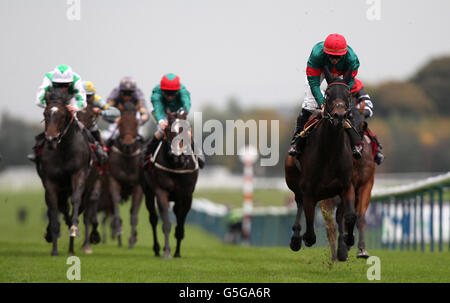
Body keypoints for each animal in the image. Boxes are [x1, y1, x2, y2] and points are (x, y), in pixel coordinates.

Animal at [36, 90, 99, 256]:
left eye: (63, 115)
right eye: (45, 114)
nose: (51, 139)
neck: (64, 151)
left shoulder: (79, 175)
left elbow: (75, 201)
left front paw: (74, 229)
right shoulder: (50, 182)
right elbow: (53, 208)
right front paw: (54, 248)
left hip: (87, 188)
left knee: (79, 209)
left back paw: (73, 246)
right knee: (61, 208)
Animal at [142, 110, 200, 260]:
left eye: (187, 129)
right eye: (168, 130)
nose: (178, 156)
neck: (177, 167)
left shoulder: (186, 196)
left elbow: (180, 224)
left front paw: (177, 252)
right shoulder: (161, 192)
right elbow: (166, 223)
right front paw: (167, 251)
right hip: (148, 192)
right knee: (153, 219)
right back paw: (157, 249)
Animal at [284, 68, 358, 262]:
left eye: (348, 94)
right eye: (329, 93)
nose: (339, 116)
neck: (330, 152)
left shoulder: (346, 185)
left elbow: (350, 215)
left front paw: (349, 239)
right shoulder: (309, 190)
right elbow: (310, 225)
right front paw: (304, 238)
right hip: (295, 183)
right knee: (299, 203)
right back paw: (296, 238)